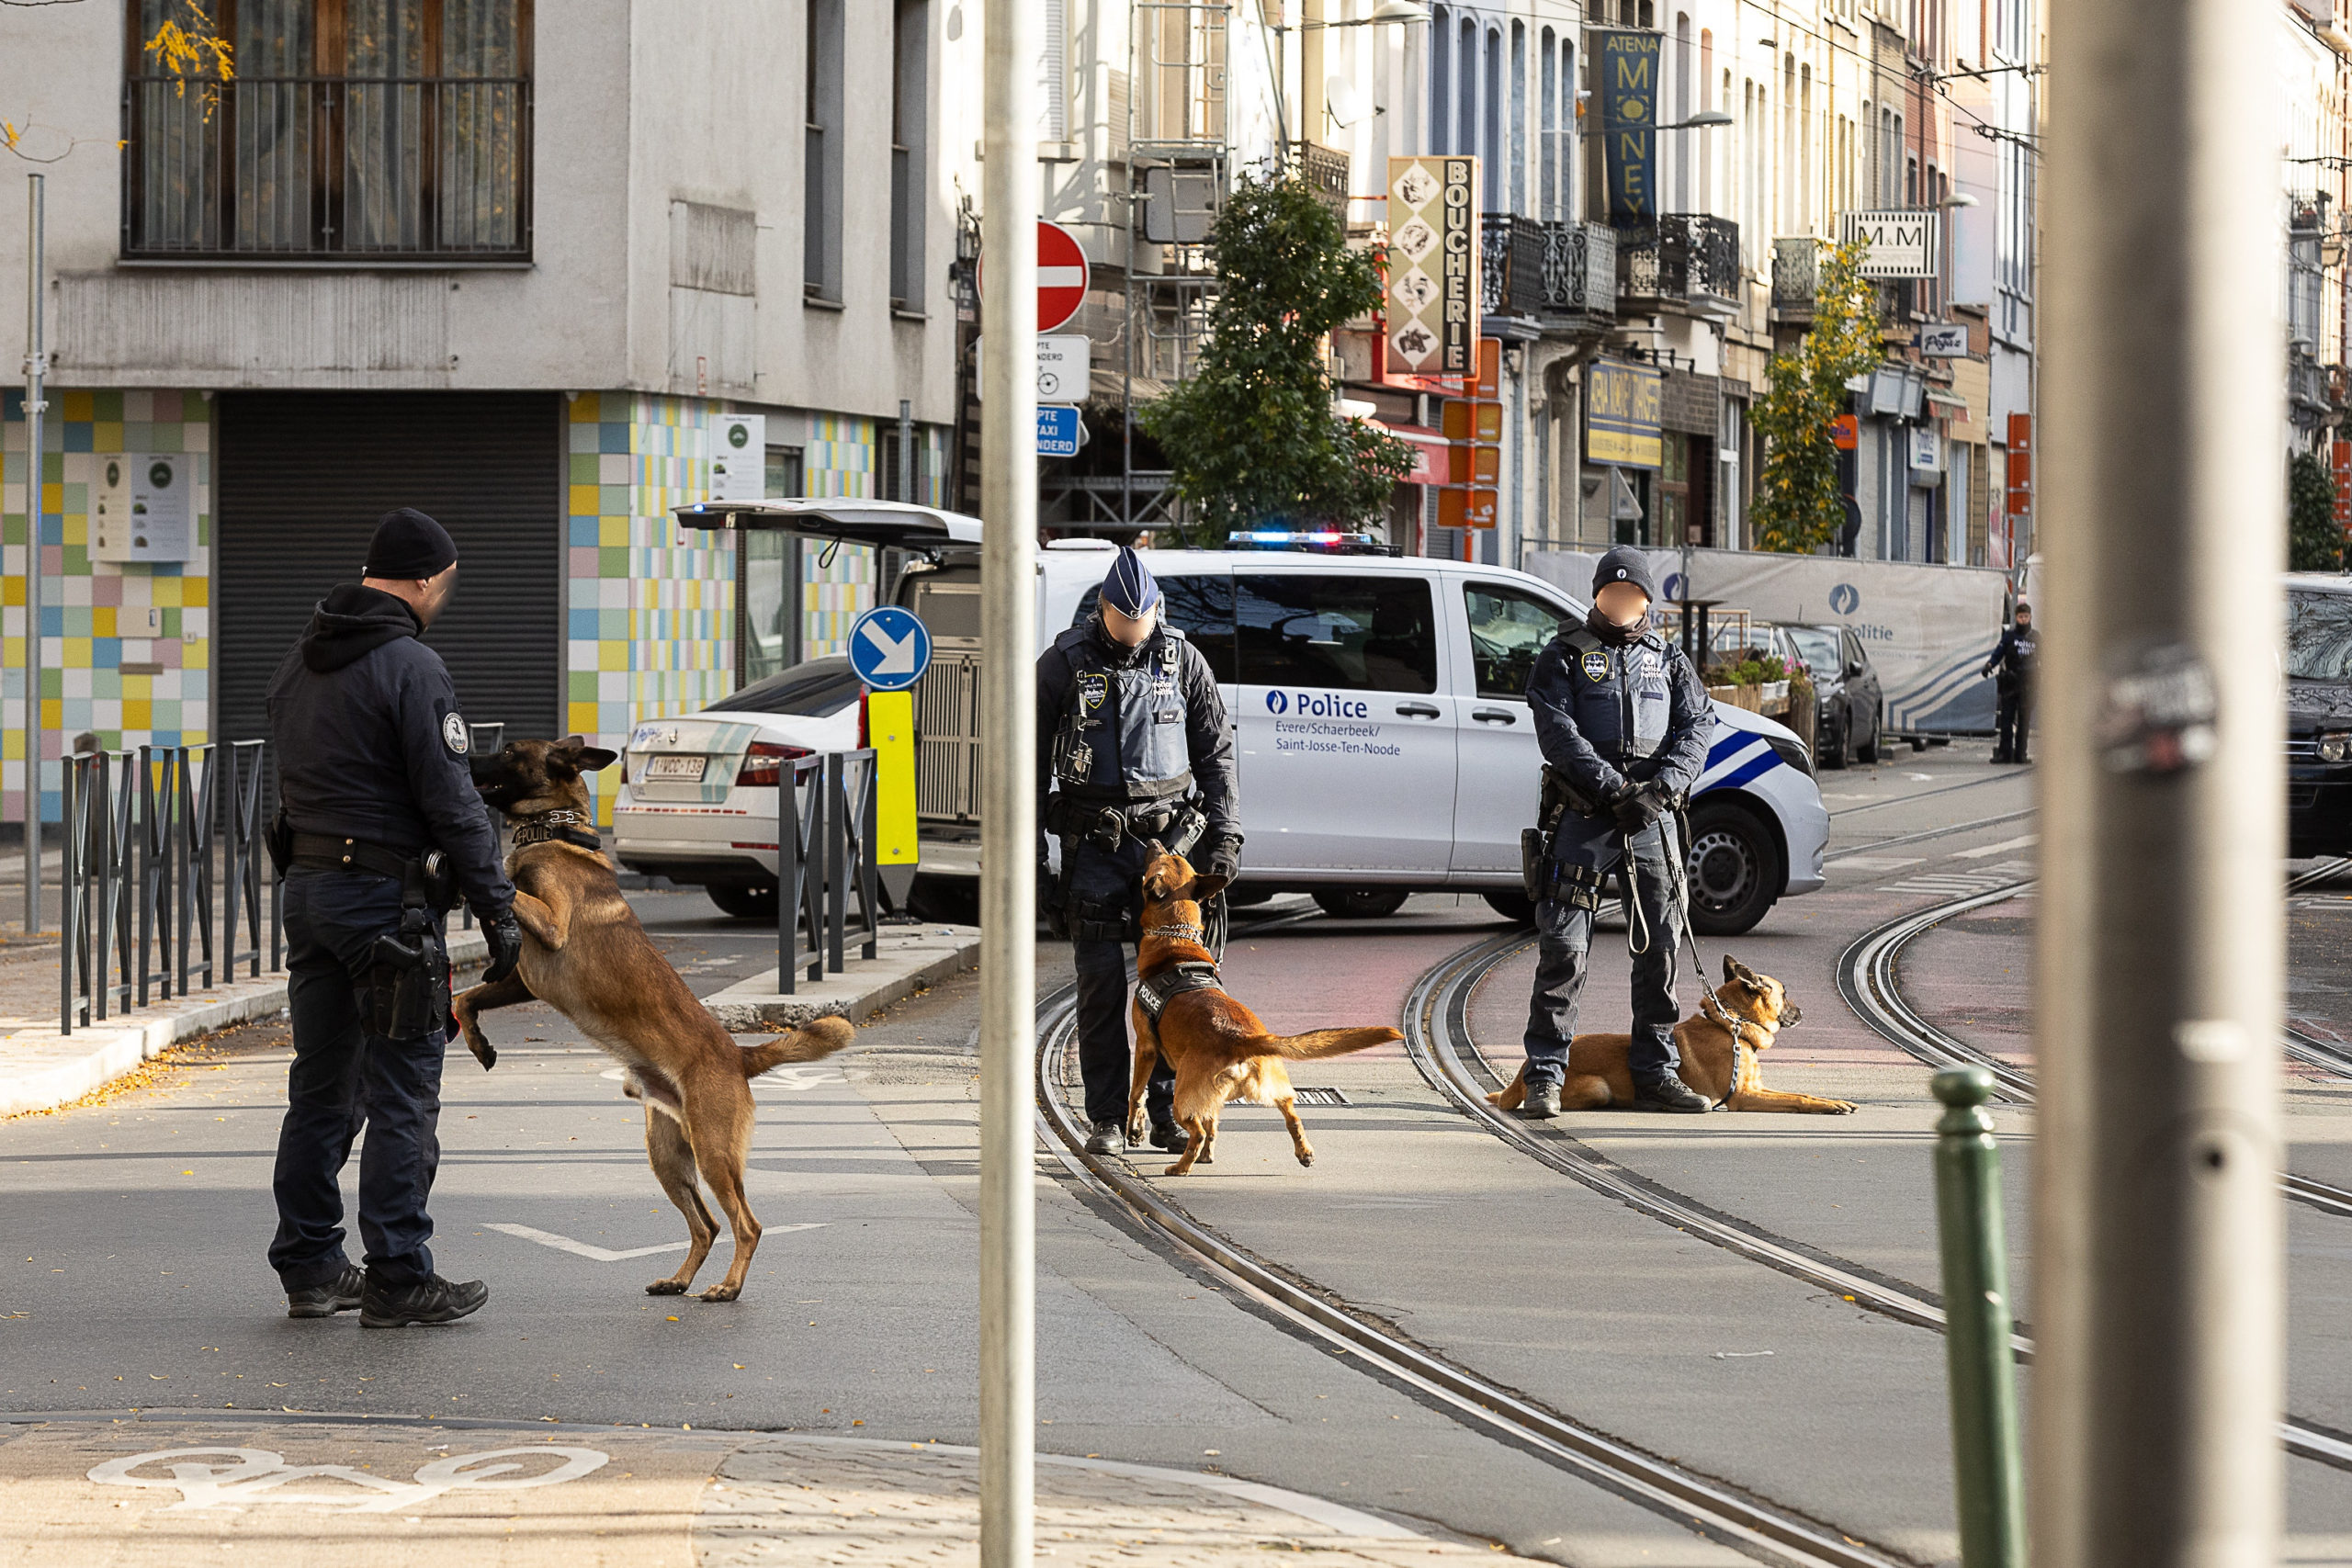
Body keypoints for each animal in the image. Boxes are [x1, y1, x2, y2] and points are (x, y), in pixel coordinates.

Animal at [451, 742, 855, 1306]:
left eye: (508, 751)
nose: (462, 759)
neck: (554, 832)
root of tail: (738, 1054)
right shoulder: (523, 979)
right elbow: (463, 997)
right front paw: (479, 1044)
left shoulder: (550, 926)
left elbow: (507, 890)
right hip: (667, 1157)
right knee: (707, 1224)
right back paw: (680, 1279)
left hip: (713, 1154)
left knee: (746, 1224)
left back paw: (727, 1287)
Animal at [1119, 846, 1392, 1175]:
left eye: (1160, 860)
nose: (1155, 841)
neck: (1175, 939)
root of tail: (1241, 1039)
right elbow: (1212, 1120)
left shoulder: (1146, 1047)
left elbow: (1136, 1094)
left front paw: (1134, 1131)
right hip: (1274, 1090)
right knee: (1289, 1117)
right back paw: (1302, 1153)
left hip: (1181, 1099)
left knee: (1197, 1132)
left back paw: (1181, 1167)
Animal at [1486, 959, 1853, 1114]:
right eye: (1784, 993)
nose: (1802, 1013)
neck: (1729, 1026)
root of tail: (1522, 1072)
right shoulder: (1743, 1097)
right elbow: (1798, 1099)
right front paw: (1828, 1107)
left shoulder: (1757, 1089)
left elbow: (1802, 1093)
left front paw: (1835, 1101)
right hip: (1598, 1088)